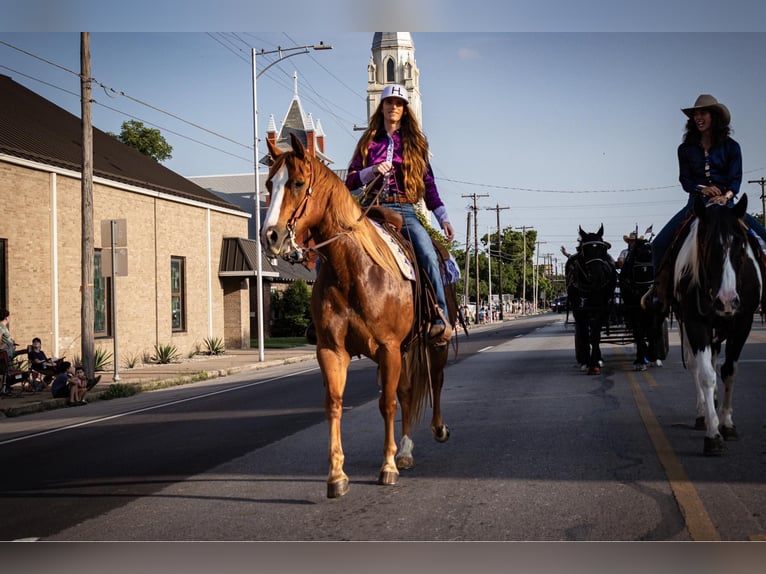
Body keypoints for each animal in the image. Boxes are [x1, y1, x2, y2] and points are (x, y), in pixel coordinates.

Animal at [260, 135, 460, 500]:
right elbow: (335, 404)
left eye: (297, 183)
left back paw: (436, 430)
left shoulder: (388, 348)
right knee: (407, 391)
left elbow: (387, 404)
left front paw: (387, 467)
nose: (270, 237)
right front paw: (337, 475)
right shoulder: (332, 350)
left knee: (436, 380)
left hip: (433, 341)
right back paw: (405, 450)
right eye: (269, 184)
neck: (353, 269)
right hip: (405, 349)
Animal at [568, 225, 620, 378]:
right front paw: (586, 361)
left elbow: (595, 335)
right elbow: (585, 335)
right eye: (585, 249)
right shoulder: (579, 311)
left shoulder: (600, 308)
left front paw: (594, 363)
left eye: (603, 248)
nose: (598, 275)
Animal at [620, 236, 668, 372]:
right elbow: (639, 333)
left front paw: (652, 357)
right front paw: (640, 361)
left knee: (655, 331)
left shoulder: (656, 311)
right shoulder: (633, 310)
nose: (651, 300)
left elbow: (652, 331)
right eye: (639, 270)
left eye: (655, 267)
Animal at [676, 196, 764, 456]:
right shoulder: (695, 323)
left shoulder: (743, 322)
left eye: (741, 245)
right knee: (696, 366)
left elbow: (729, 371)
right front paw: (713, 433)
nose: (727, 300)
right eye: (706, 244)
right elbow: (706, 375)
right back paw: (702, 413)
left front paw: (726, 422)